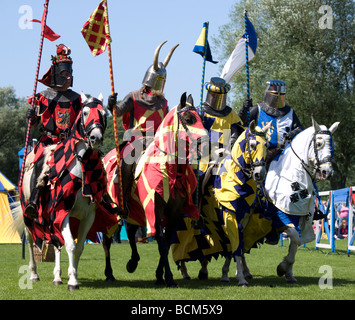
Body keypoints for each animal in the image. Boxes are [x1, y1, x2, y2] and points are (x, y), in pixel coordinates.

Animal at [11, 92, 117, 290]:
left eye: (104, 114)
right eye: (84, 112)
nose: (96, 138)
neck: (81, 169)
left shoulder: (87, 216)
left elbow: (79, 247)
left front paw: (71, 275)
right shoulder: (62, 211)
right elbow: (70, 245)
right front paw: (73, 281)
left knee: (56, 243)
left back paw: (58, 276)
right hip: (29, 215)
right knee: (32, 240)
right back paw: (35, 274)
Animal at [101, 92, 210, 288]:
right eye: (188, 119)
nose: (206, 146)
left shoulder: (174, 213)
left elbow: (166, 241)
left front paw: (160, 275)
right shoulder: (155, 207)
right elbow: (161, 241)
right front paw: (169, 277)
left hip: (134, 208)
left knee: (130, 230)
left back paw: (133, 262)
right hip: (111, 208)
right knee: (107, 239)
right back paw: (110, 273)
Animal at [177, 121, 272, 286]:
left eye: (266, 145)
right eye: (253, 145)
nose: (260, 174)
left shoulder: (242, 218)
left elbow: (234, 246)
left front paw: (229, 273)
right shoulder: (229, 215)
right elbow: (234, 245)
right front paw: (240, 278)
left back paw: (202, 271)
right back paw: (184, 271)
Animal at [221, 117, 340, 284]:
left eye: (333, 145)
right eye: (318, 144)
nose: (327, 172)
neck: (294, 177)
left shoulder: (301, 218)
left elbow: (297, 242)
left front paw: (289, 273)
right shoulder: (280, 218)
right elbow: (295, 238)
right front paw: (282, 267)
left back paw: (244, 272)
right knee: (237, 241)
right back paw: (233, 273)